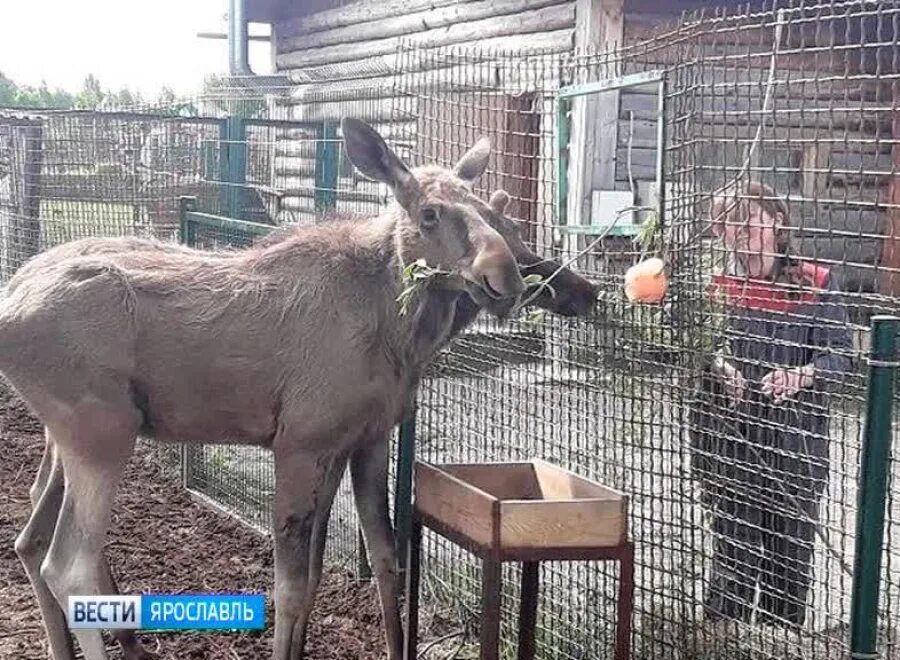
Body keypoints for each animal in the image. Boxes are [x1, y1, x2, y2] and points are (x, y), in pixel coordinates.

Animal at [1, 120, 528, 660]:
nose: (505, 274)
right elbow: (290, 586)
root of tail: (11, 300)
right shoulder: (299, 442)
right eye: (429, 213)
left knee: (30, 537)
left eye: (492, 214)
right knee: (68, 565)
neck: (398, 332)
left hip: (68, 438)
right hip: (101, 434)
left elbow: (374, 562)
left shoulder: (363, 440)